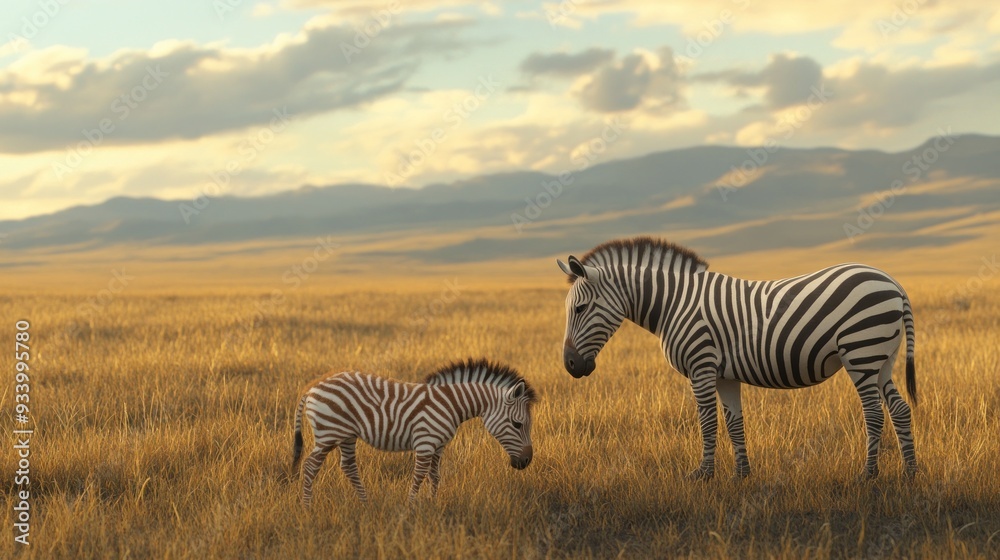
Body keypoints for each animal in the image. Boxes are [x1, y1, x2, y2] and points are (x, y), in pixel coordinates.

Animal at [291, 358, 536, 504]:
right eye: (517, 424)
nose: (526, 462)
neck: (450, 404)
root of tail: (312, 388)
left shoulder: (439, 445)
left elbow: (435, 476)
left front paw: (433, 504)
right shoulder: (426, 442)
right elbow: (419, 475)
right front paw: (410, 508)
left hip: (347, 435)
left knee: (348, 466)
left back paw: (365, 503)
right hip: (328, 434)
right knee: (310, 466)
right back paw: (307, 507)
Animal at [557, 236, 917, 480]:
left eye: (580, 308)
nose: (570, 366)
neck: (675, 304)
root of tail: (894, 282)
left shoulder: (701, 366)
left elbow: (707, 421)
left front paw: (703, 474)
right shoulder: (724, 374)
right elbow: (734, 422)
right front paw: (742, 474)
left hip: (861, 352)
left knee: (874, 413)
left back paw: (868, 474)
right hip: (882, 359)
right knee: (899, 409)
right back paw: (910, 472)